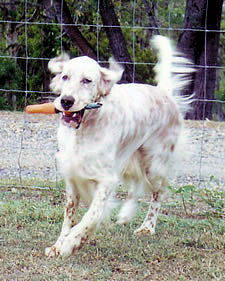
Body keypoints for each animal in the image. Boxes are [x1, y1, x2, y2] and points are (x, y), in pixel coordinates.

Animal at [45, 36, 193, 258]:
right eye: (64, 77)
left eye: (87, 80)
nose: (66, 101)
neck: (85, 129)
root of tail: (164, 93)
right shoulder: (72, 175)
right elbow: (69, 213)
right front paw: (58, 244)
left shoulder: (106, 179)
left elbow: (91, 216)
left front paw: (72, 243)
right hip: (132, 160)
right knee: (135, 187)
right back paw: (125, 215)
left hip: (154, 164)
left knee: (158, 193)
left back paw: (147, 227)